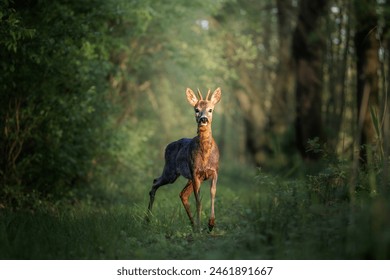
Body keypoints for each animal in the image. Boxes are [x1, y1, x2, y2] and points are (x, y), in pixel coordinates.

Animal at [146, 87, 221, 232]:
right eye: (196, 109)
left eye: (210, 110)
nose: (203, 119)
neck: (205, 155)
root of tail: (167, 147)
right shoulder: (195, 172)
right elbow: (198, 200)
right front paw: (201, 226)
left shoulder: (214, 171)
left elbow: (212, 194)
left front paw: (211, 224)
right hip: (171, 171)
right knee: (155, 182)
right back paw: (147, 220)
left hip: (186, 177)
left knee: (183, 194)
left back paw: (193, 225)